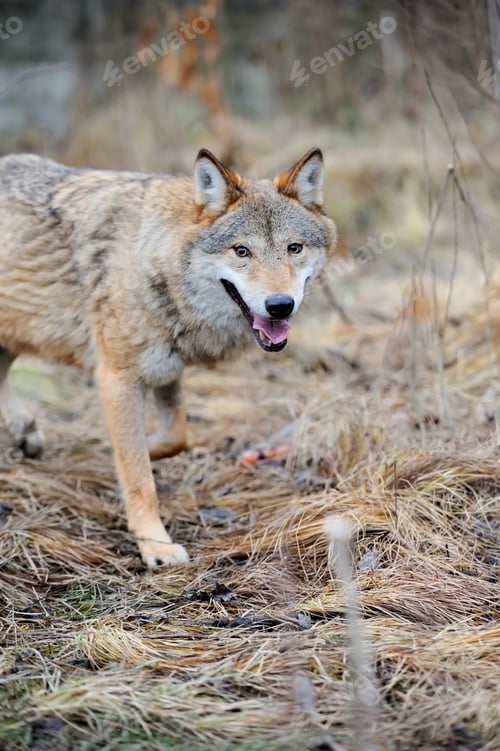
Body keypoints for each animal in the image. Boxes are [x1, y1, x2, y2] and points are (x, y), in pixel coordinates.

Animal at [0, 148, 337, 567]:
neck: (157, 262)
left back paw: (25, 430)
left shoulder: (167, 367)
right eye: (242, 251)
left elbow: (175, 436)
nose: (280, 306)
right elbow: (140, 478)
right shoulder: (117, 379)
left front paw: (130, 451)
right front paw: (155, 545)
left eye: (294, 248)